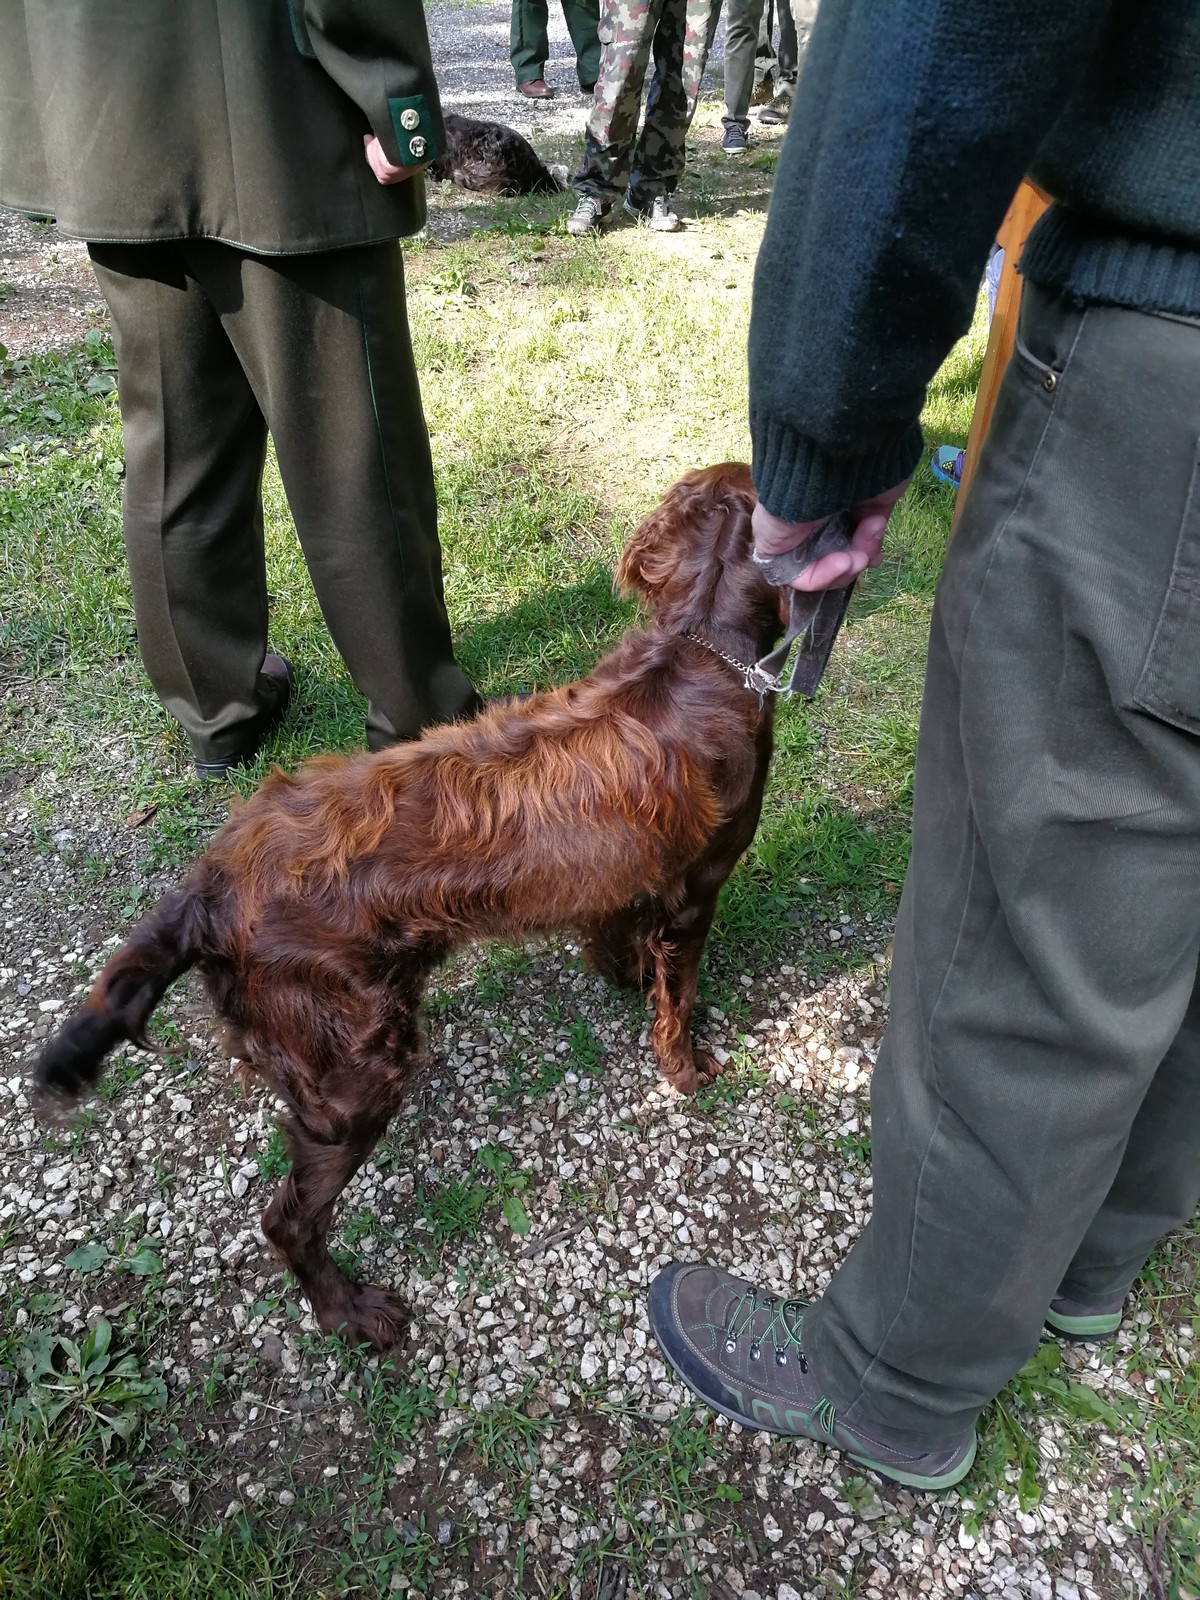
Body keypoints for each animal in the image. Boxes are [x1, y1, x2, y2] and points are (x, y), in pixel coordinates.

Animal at [33, 464, 788, 1350]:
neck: (698, 645)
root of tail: (210, 886)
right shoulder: (698, 890)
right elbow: (680, 998)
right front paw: (688, 1068)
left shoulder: (624, 878)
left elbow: (615, 937)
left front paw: (625, 977)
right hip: (356, 1068)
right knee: (287, 1219)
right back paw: (353, 1313)